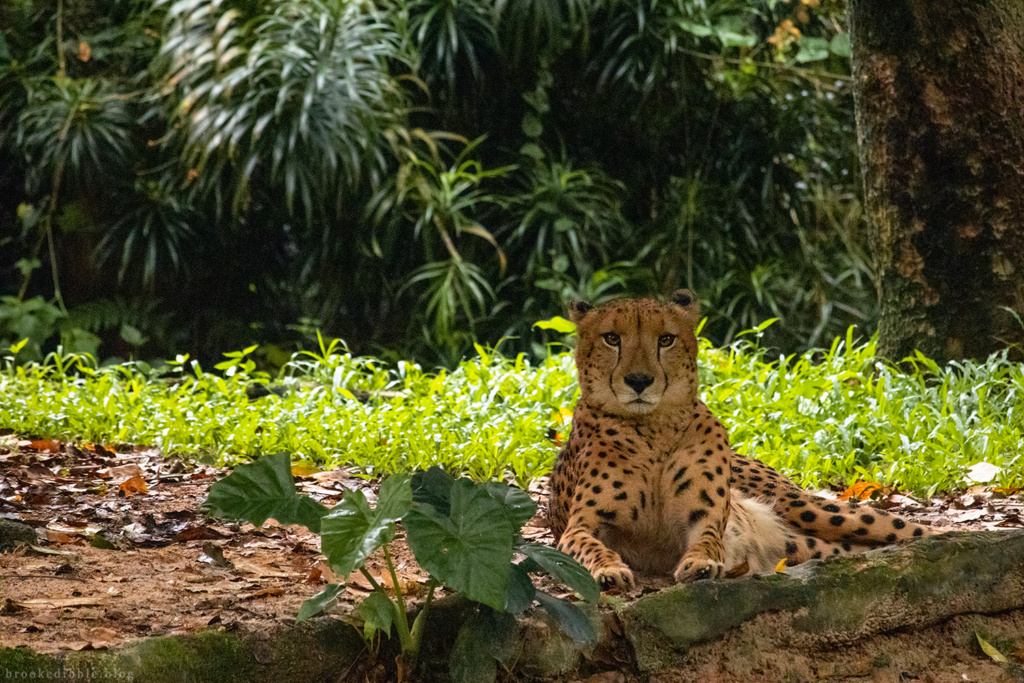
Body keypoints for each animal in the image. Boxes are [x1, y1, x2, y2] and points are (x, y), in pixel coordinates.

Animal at [548, 290, 937, 589]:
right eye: (612, 338)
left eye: (666, 339)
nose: (639, 381)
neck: (653, 427)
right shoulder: (579, 527)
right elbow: (588, 549)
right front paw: (609, 570)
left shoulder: (705, 516)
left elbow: (708, 539)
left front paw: (700, 563)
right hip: (809, 545)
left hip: (802, 506)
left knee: (915, 528)